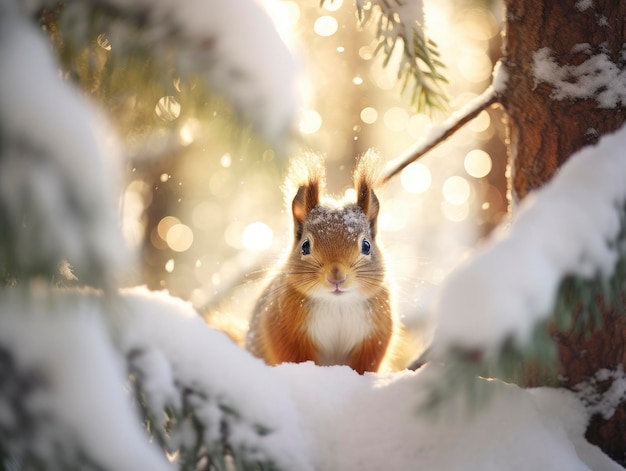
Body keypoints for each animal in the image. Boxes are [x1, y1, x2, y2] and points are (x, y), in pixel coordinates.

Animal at [245, 152, 394, 376]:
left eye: (367, 246)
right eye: (305, 246)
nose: (337, 276)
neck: (337, 303)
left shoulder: (375, 334)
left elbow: (366, 364)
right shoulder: (283, 329)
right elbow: (294, 357)